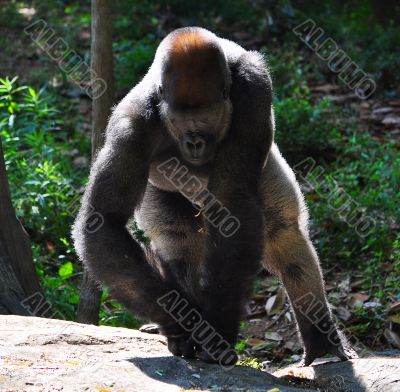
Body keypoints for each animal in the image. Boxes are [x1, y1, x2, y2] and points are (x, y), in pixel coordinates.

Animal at [71, 26, 354, 366]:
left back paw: (322, 344)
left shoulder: (254, 90)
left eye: (204, 119)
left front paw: (215, 331)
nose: (194, 143)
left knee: (283, 236)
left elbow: (233, 207)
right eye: (182, 122)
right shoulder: (130, 127)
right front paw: (185, 325)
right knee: (177, 236)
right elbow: (105, 221)